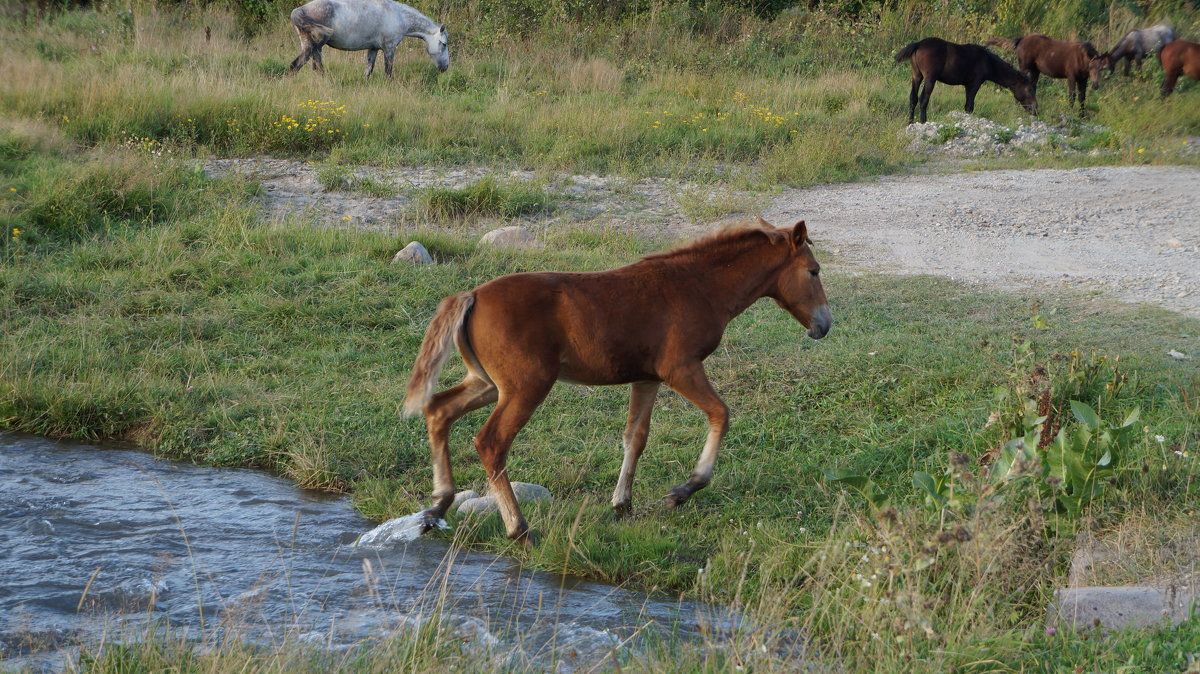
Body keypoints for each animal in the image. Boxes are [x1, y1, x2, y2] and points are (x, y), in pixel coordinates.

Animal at [288, 0, 448, 76]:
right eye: (444, 44)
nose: (445, 67)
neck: (399, 16)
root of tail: (299, 10)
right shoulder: (389, 49)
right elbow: (388, 72)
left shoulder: (373, 49)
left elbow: (368, 71)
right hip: (311, 47)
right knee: (295, 66)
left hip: (316, 49)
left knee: (318, 69)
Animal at [403, 219, 835, 539]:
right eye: (812, 271)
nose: (824, 325)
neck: (698, 285)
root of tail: (471, 295)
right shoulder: (681, 369)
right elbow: (721, 414)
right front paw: (683, 490)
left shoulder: (647, 378)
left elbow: (635, 437)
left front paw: (622, 504)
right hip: (525, 386)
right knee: (491, 442)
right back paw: (519, 528)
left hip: (488, 383)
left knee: (439, 410)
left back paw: (439, 505)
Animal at [897, 36, 1036, 123]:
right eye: (1029, 89)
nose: (1035, 110)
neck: (988, 61)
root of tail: (919, 44)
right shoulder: (974, 84)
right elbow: (969, 106)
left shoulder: (967, 85)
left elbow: (967, 105)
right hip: (930, 78)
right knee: (923, 99)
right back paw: (923, 121)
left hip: (916, 75)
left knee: (913, 98)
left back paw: (910, 122)